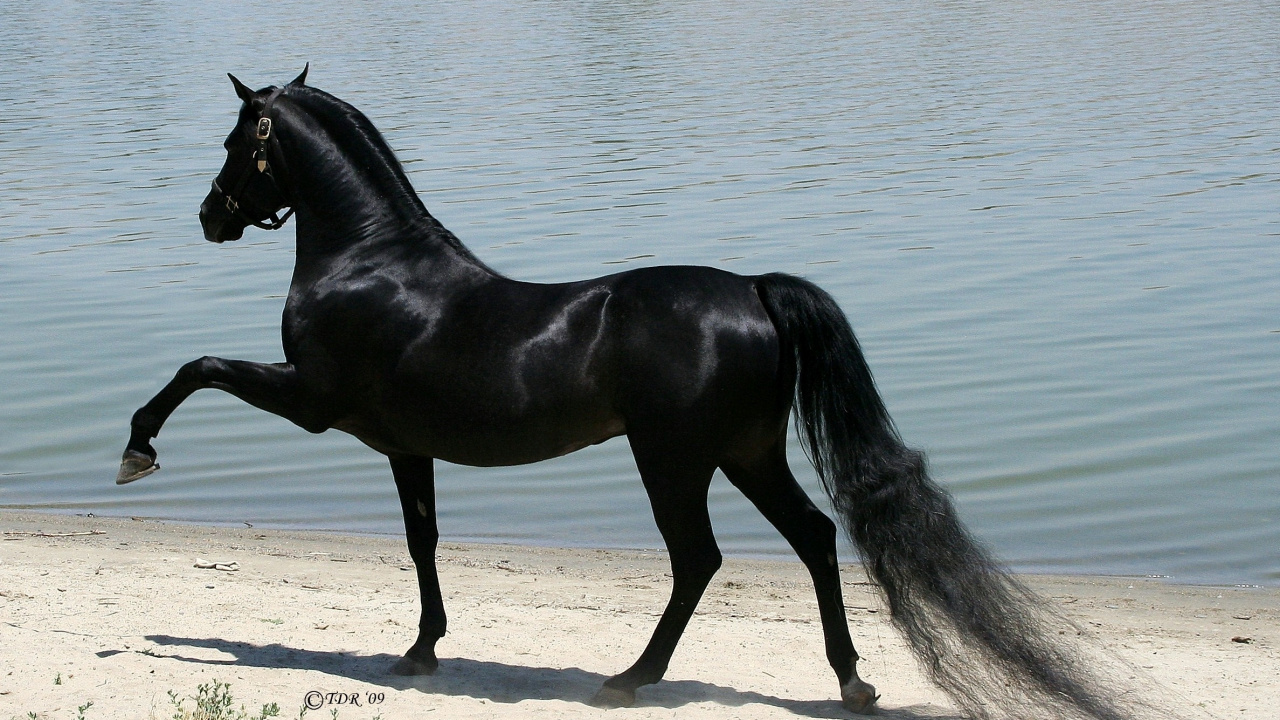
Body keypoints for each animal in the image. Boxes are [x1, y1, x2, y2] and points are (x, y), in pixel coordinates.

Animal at [117, 67, 1135, 720]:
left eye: (234, 142)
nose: (209, 217)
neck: (371, 261)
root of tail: (752, 290)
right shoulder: (404, 445)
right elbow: (421, 541)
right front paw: (421, 652)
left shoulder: (314, 401)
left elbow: (196, 368)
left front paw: (137, 450)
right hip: (746, 453)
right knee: (812, 538)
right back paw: (850, 682)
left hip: (675, 460)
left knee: (700, 560)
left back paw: (632, 678)